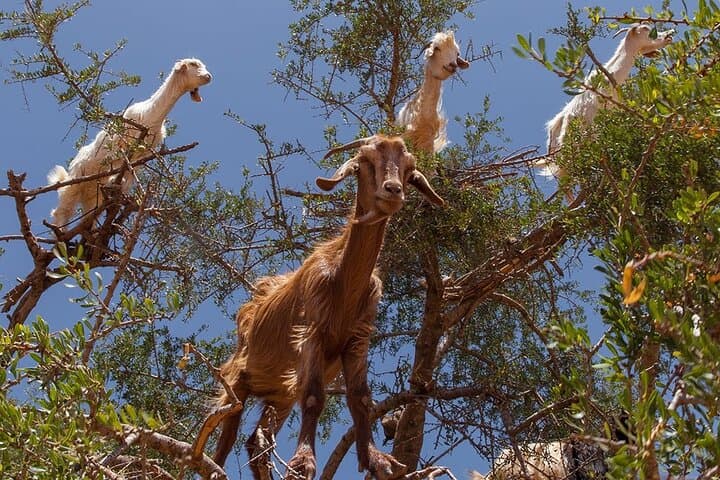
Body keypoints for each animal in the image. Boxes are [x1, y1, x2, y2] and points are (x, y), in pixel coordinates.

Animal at [47, 58, 212, 228]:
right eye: (193, 64)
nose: (208, 77)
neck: (150, 114)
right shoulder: (121, 145)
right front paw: (115, 182)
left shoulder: (143, 155)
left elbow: (130, 175)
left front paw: (123, 192)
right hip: (75, 181)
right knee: (62, 211)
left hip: (92, 196)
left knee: (88, 219)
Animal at [212, 135, 445, 480]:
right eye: (364, 163)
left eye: (408, 169)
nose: (392, 190)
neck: (343, 283)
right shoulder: (312, 332)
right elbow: (313, 398)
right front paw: (303, 462)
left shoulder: (358, 339)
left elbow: (361, 399)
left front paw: (375, 458)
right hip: (238, 378)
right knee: (224, 440)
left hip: (279, 393)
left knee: (256, 443)